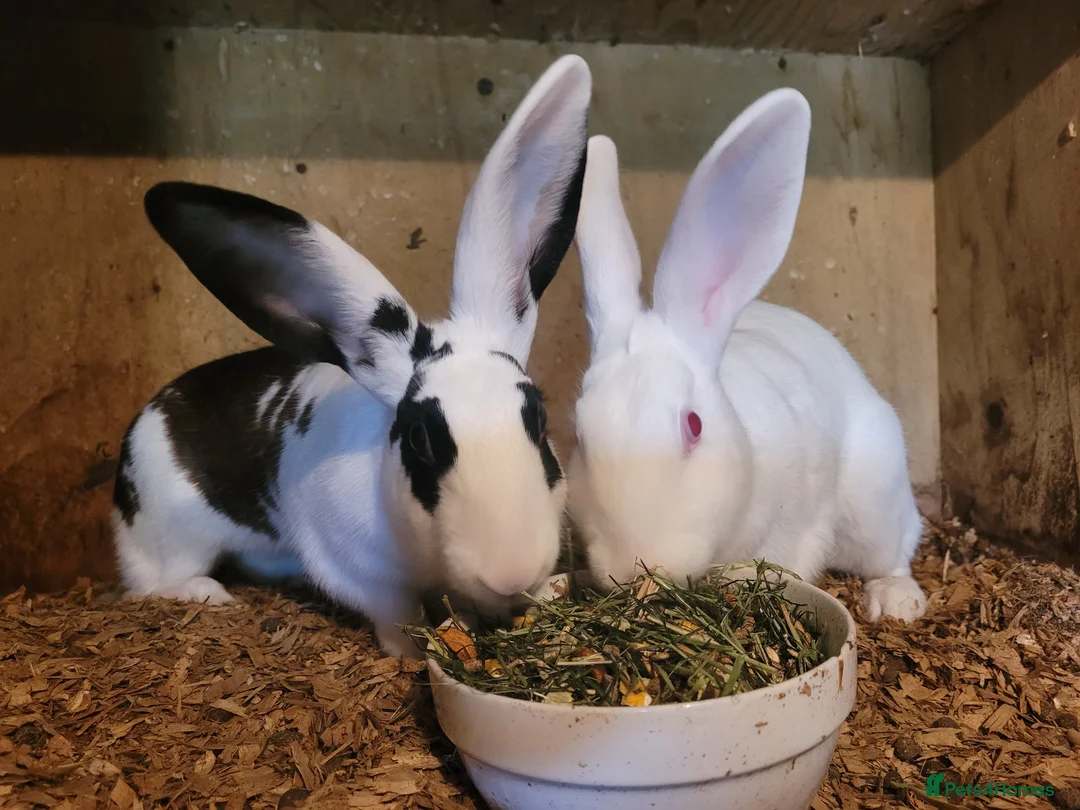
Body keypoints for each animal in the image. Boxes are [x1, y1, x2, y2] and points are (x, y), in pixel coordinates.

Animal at [110, 54, 592, 657]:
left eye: (540, 418)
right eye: (419, 438)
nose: (511, 568)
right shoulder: (362, 574)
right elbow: (395, 618)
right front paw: (411, 654)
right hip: (172, 532)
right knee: (151, 584)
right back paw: (209, 594)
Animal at [567, 87, 927, 623]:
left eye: (694, 426)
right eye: (579, 435)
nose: (636, 568)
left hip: (875, 497)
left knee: (895, 550)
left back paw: (896, 601)